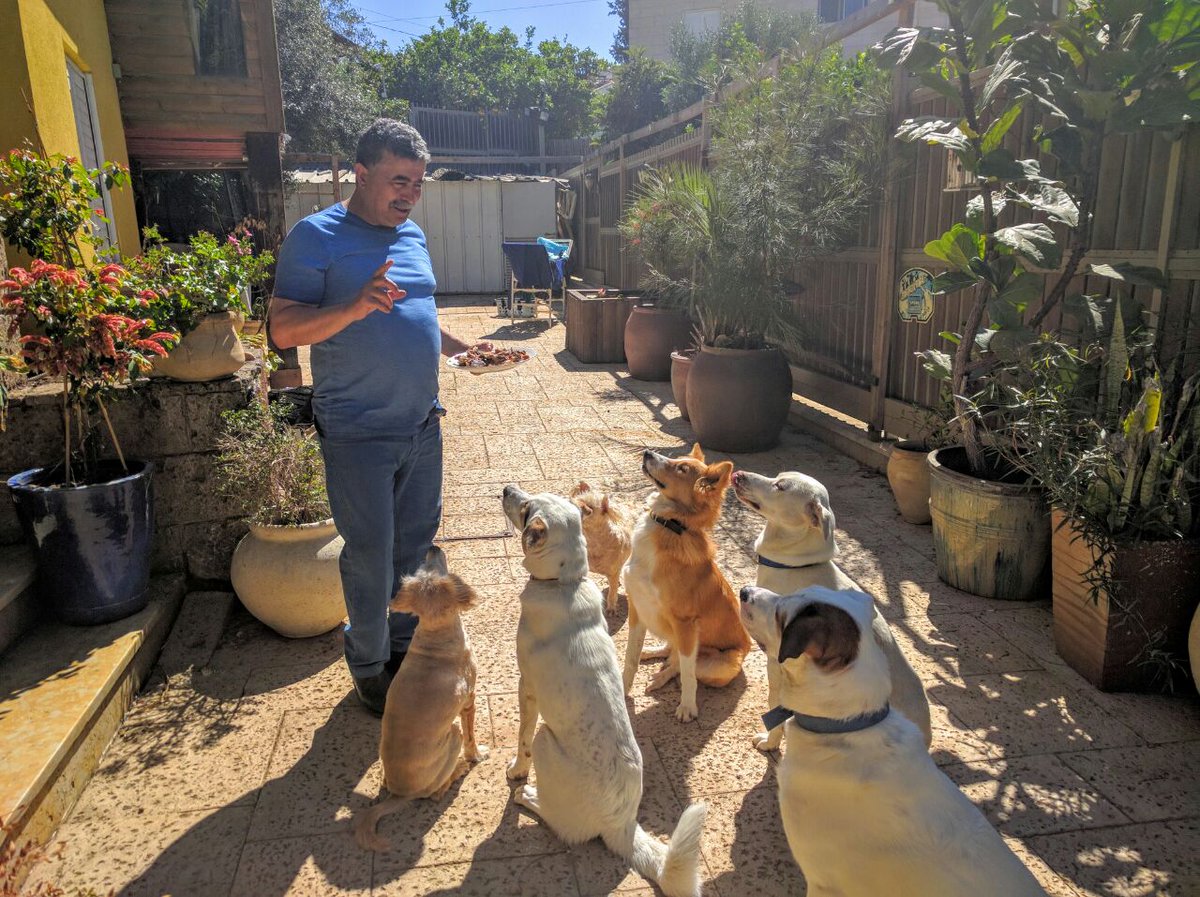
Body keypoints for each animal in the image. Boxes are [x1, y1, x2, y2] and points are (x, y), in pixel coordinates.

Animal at [353, 547, 487, 851]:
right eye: (435, 568)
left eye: (426, 567)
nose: (433, 547)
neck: (435, 636)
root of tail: (400, 794)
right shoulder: (469, 701)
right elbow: (472, 737)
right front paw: (476, 755)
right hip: (452, 734)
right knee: (435, 793)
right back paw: (459, 769)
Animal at [622, 444, 752, 722]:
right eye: (678, 460)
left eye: (681, 468)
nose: (647, 452)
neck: (670, 525)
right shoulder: (637, 610)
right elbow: (631, 658)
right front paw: (622, 687)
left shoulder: (686, 623)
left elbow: (688, 672)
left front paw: (687, 707)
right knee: (672, 653)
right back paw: (653, 654)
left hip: (721, 665)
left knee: (682, 666)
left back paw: (662, 676)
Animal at [731, 469, 932, 751]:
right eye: (777, 476)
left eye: (780, 486)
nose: (737, 474)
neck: (796, 566)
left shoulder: (777, 663)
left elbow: (775, 706)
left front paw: (770, 742)